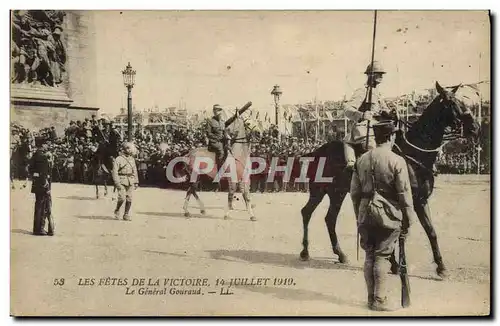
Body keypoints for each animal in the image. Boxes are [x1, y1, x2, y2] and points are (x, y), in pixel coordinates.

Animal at [296, 82, 480, 278]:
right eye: (452, 103)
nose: (475, 127)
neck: (414, 154)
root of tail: (316, 151)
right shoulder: (403, 201)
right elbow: (396, 231)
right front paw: (394, 264)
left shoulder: (421, 201)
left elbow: (431, 231)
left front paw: (441, 266)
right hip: (319, 191)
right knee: (307, 213)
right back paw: (305, 252)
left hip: (337, 193)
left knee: (329, 218)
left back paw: (340, 254)